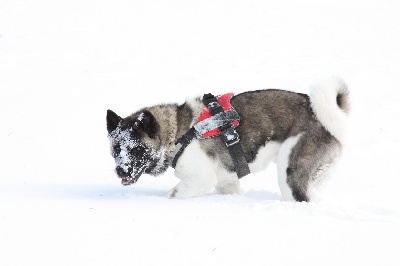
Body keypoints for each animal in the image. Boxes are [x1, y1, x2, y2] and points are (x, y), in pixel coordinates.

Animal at [106, 77, 350, 202]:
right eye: (116, 149)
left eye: (137, 149)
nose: (120, 170)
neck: (177, 134)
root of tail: (321, 115)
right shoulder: (227, 182)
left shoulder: (201, 179)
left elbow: (172, 195)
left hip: (290, 173)